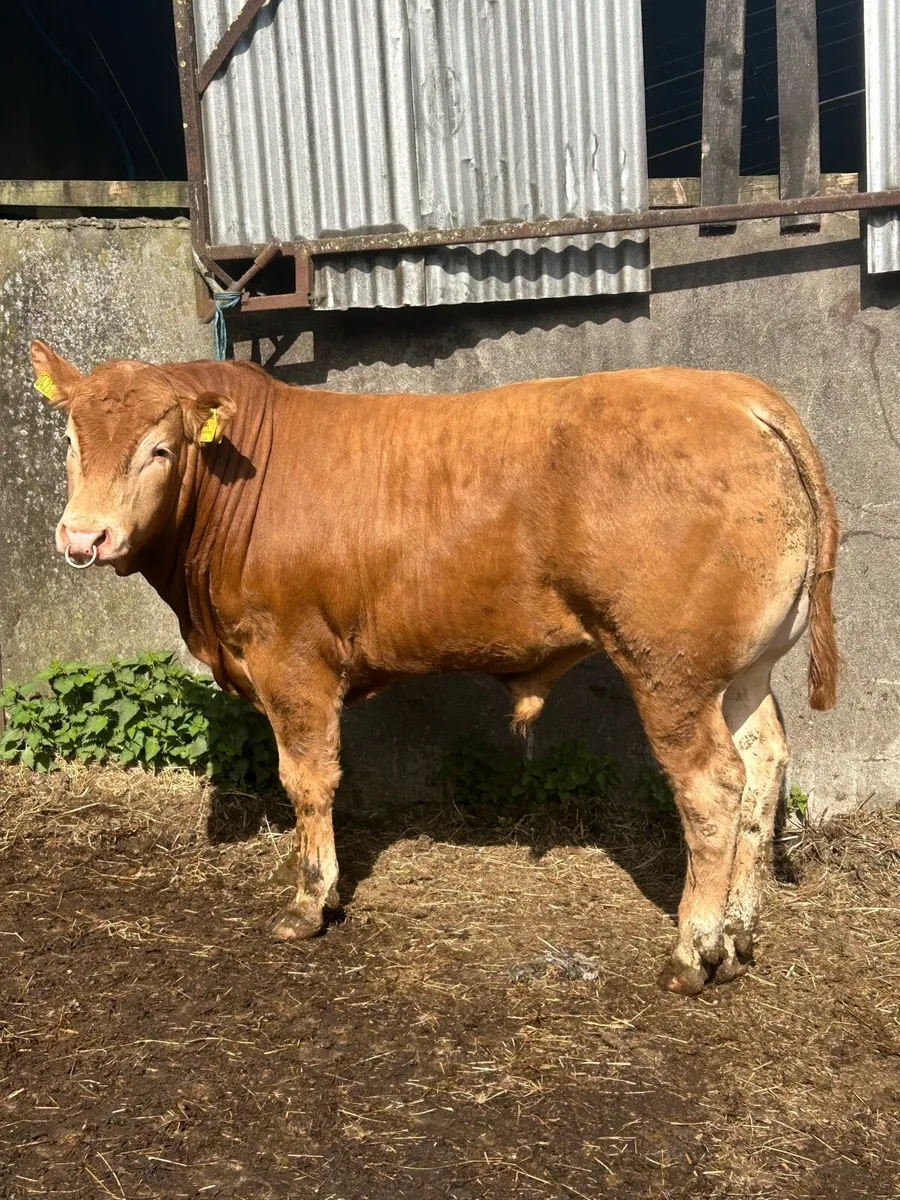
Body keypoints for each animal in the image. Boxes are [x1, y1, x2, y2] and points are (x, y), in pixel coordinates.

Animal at [29, 340, 838, 994]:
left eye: (159, 449)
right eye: (69, 437)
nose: (84, 536)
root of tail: (738, 395)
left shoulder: (291, 654)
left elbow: (308, 778)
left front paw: (309, 900)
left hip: (669, 669)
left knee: (712, 786)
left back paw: (692, 953)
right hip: (744, 670)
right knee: (763, 765)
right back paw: (738, 934)